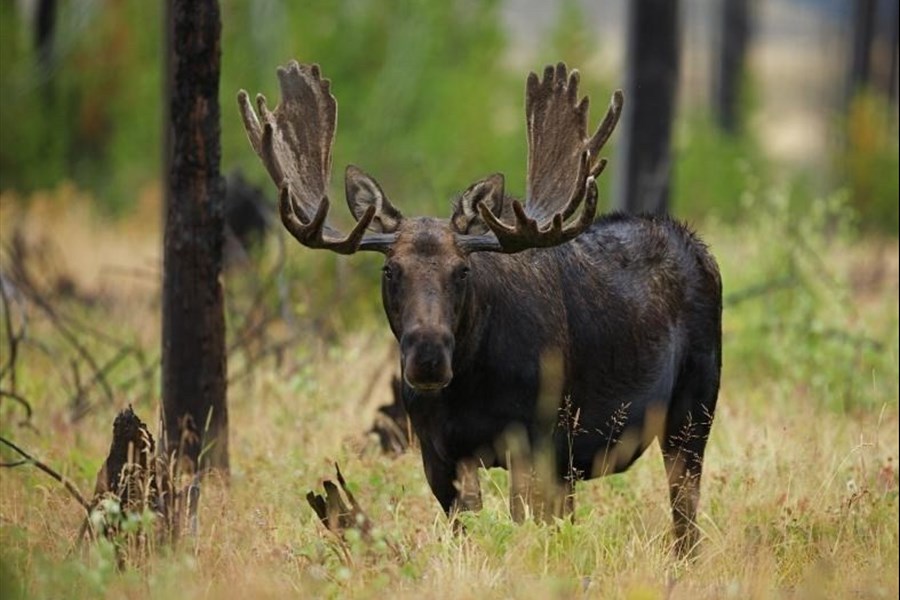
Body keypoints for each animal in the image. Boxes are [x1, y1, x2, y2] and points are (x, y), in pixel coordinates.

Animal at [236, 59, 720, 552]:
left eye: (463, 270)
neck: (470, 386)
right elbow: (468, 527)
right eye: (390, 270)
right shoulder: (440, 452)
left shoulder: (534, 439)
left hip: (693, 408)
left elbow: (523, 525)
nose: (428, 357)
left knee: (685, 511)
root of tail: (699, 247)